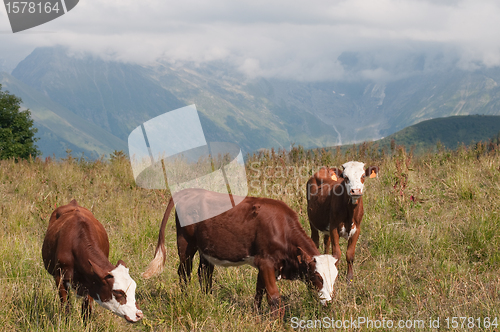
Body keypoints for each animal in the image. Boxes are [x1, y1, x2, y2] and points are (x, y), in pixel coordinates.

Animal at [143, 189, 338, 314]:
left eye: (335, 277)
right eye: (316, 276)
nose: (329, 303)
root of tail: (187, 191)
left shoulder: (264, 264)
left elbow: (259, 292)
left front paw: (256, 315)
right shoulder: (266, 262)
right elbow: (274, 297)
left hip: (206, 248)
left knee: (204, 273)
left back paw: (208, 300)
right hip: (185, 242)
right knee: (184, 272)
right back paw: (186, 298)